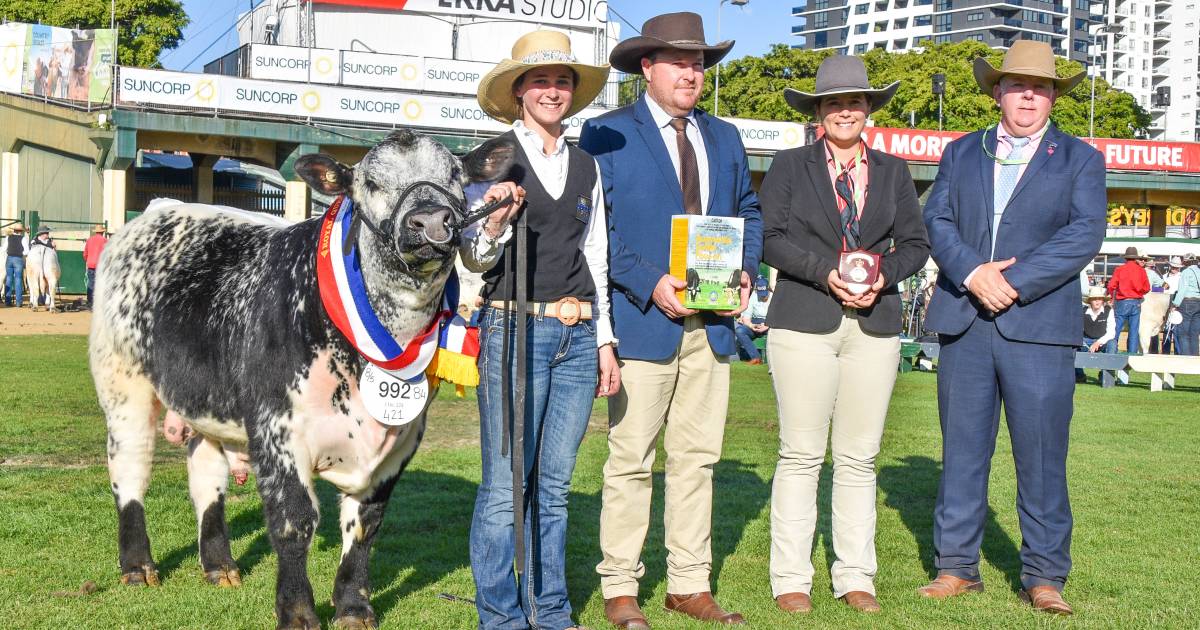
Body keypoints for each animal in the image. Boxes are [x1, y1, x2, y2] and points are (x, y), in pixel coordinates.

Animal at [87, 130, 511, 624]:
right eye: (369, 183)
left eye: (455, 176)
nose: (431, 221)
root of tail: (160, 210)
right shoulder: (278, 429)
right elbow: (295, 520)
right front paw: (297, 611)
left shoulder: (400, 442)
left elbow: (365, 526)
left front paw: (352, 605)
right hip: (123, 385)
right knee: (130, 470)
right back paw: (137, 566)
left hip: (205, 406)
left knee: (206, 477)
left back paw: (219, 565)